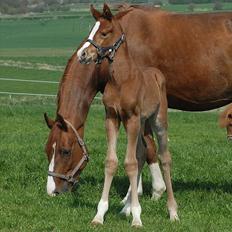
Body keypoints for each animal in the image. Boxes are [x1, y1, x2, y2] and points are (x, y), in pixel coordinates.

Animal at [78, 4, 178, 227]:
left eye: (104, 33)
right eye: (91, 29)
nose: (82, 54)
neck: (121, 80)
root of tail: (156, 73)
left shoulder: (131, 118)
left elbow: (130, 163)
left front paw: (137, 218)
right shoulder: (112, 118)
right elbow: (112, 162)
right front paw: (100, 215)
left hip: (157, 120)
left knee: (164, 158)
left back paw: (173, 211)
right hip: (141, 123)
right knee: (141, 154)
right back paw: (126, 209)